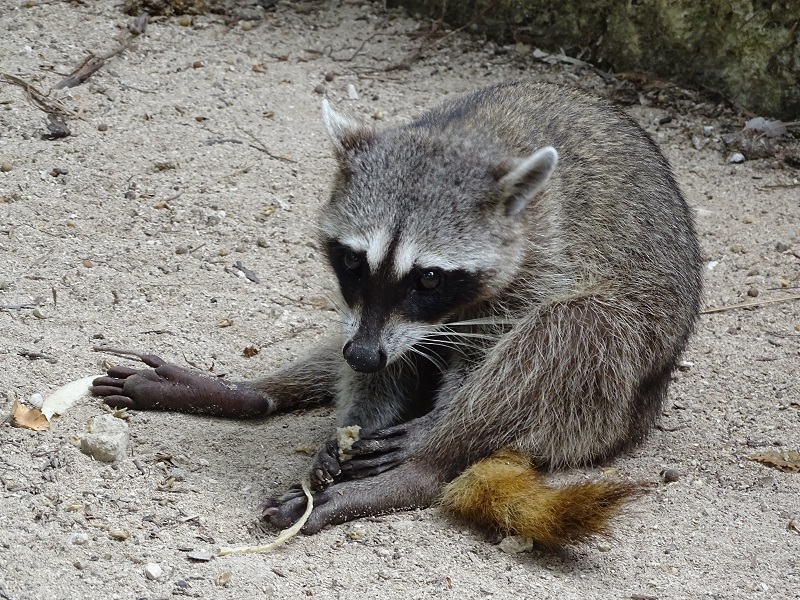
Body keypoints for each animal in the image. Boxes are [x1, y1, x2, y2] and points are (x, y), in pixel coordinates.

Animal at [92, 81, 703, 545]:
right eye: (353, 261)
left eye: (428, 277)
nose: (362, 355)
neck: (465, 137)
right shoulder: (368, 317)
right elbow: (387, 360)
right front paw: (351, 417)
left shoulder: (543, 258)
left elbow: (500, 345)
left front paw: (434, 427)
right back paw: (254, 393)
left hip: (614, 392)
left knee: (571, 331)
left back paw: (421, 465)